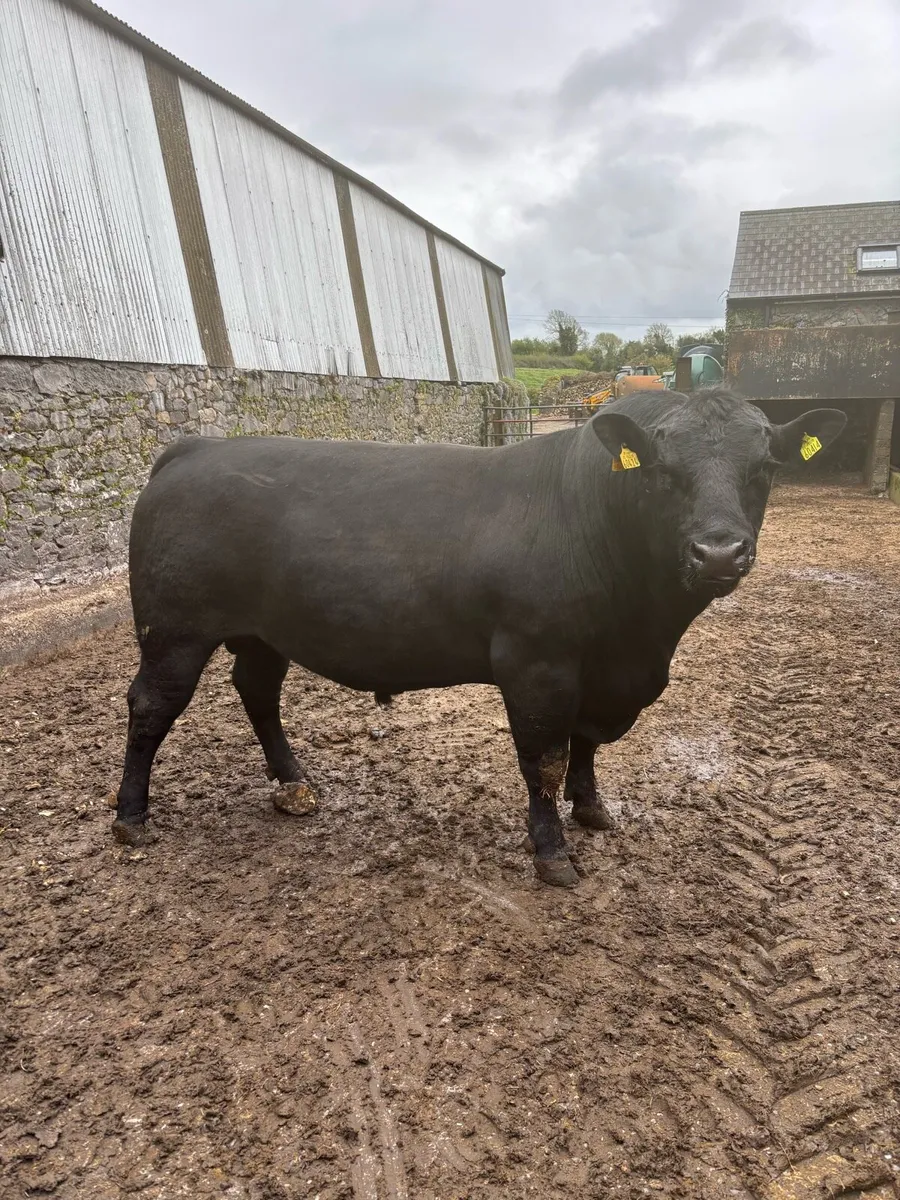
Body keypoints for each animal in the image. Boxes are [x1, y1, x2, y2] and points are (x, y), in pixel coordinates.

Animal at [112, 387, 845, 886]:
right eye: (662, 470)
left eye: (765, 468)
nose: (719, 552)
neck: (642, 634)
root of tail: (199, 447)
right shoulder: (538, 662)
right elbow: (544, 757)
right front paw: (552, 854)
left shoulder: (602, 670)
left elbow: (585, 746)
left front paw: (593, 810)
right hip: (173, 630)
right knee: (151, 705)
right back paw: (131, 817)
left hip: (265, 632)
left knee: (258, 693)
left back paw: (294, 786)